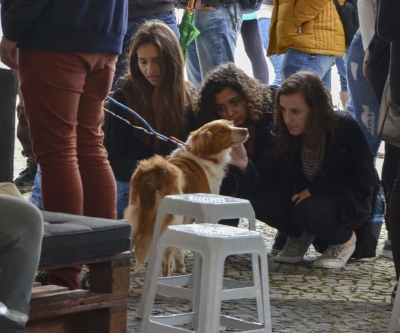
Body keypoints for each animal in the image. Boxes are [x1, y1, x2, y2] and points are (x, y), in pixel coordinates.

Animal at [125, 118, 248, 274]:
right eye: (222, 130)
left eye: (231, 124)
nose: (245, 130)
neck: (202, 154)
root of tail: (156, 172)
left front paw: (179, 267)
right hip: (170, 219)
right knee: (164, 262)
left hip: (135, 218)